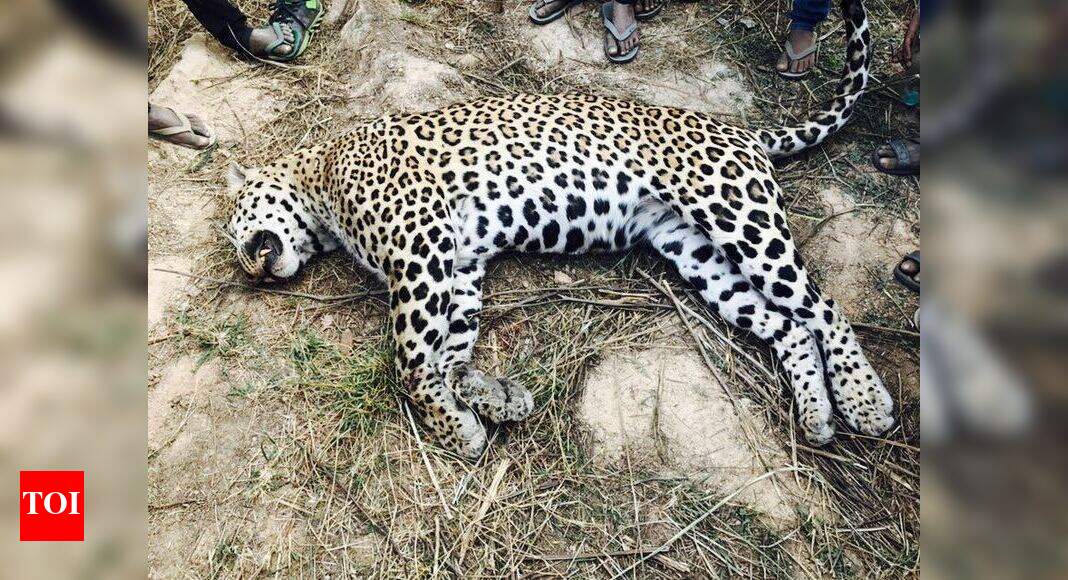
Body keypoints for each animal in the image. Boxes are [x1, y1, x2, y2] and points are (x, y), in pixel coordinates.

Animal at [222, 0, 893, 460]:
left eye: (234, 228)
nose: (250, 270)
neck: (319, 178)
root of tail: (745, 131)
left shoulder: (421, 251)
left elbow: (411, 364)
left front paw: (458, 429)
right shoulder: (458, 266)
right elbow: (450, 356)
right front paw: (491, 398)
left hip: (739, 217)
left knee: (824, 307)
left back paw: (865, 403)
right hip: (698, 254)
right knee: (790, 326)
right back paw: (817, 414)